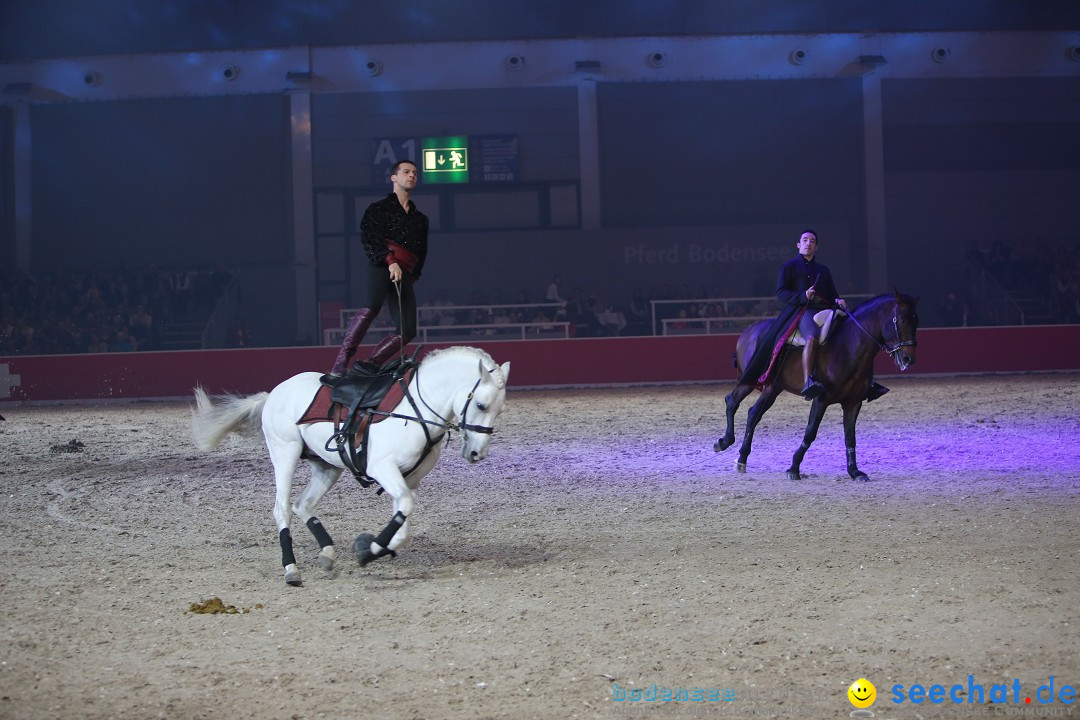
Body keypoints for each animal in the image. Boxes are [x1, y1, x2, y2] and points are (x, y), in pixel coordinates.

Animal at [191, 345, 509, 587]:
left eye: (499, 410)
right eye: (481, 405)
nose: (477, 453)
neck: (414, 408)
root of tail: (274, 393)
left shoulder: (410, 480)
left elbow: (403, 523)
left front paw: (369, 548)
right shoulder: (383, 468)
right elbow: (404, 508)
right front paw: (368, 551)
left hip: (327, 466)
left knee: (303, 505)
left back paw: (328, 553)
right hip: (285, 454)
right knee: (282, 509)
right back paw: (291, 569)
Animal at [717, 289, 920, 481]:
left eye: (916, 320)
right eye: (901, 320)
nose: (908, 359)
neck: (849, 346)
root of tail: (749, 330)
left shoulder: (853, 403)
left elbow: (850, 437)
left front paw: (854, 471)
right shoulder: (821, 399)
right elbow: (810, 432)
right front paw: (794, 468)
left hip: (772, 388)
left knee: (753, 414)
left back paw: (742, 458)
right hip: (750, 380)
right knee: (732, 401)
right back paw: (724, 442)